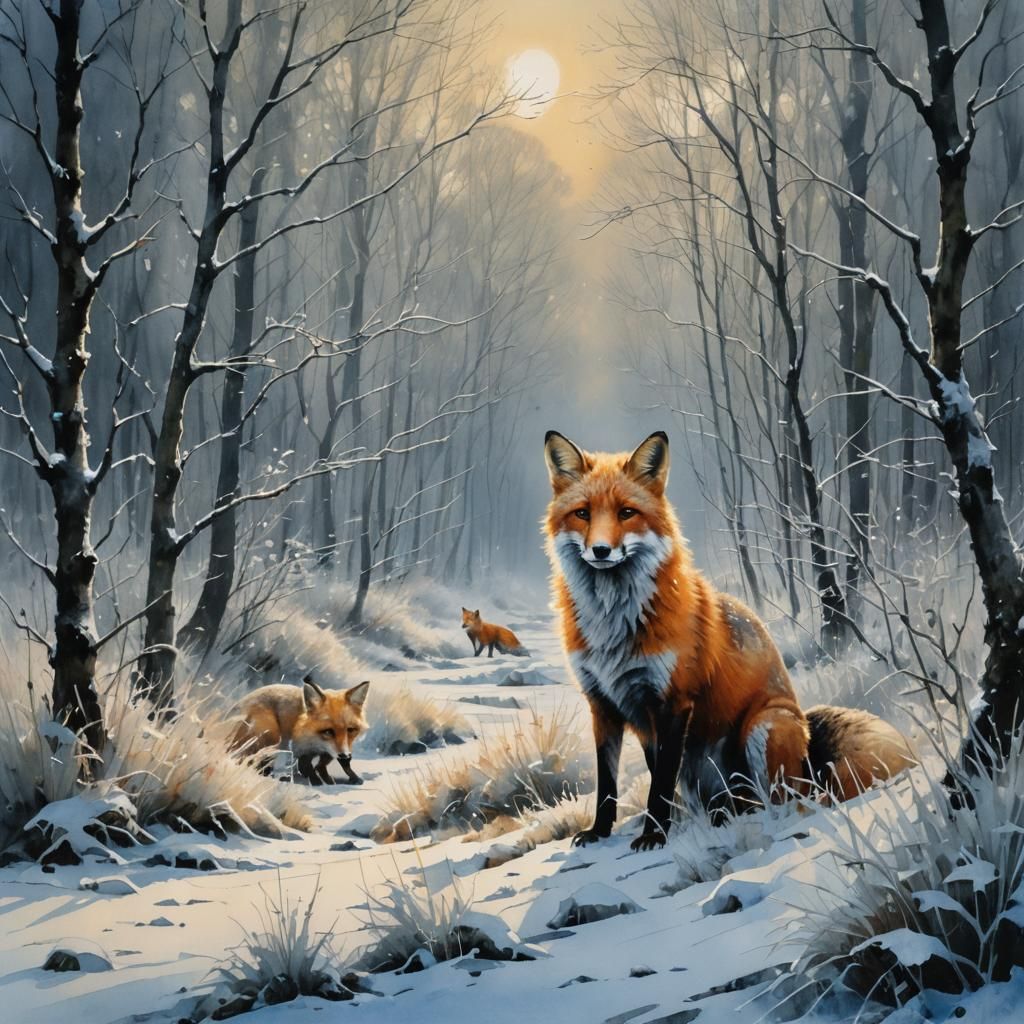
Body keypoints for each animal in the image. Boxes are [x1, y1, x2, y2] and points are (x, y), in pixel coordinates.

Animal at [230, 676, 370, 786]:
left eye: (351, 730)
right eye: (328, 731)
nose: (345, 755)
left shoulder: (332, 750)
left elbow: (325, 765)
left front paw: (346, 778)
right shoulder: (301, 748)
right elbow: (306, 766)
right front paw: (316, 782)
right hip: (272, 734)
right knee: (252, 760)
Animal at [544, 429, 916, 852]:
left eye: (626, 513)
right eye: (583, 513)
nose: (601, 550)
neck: (613, 629)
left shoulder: (673, 702)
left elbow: (659, 786)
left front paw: (654, 834)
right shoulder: (603, 704)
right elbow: (610, 782)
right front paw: (600, 831)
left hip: (765, 726)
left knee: (787, 801)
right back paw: (717, 815)